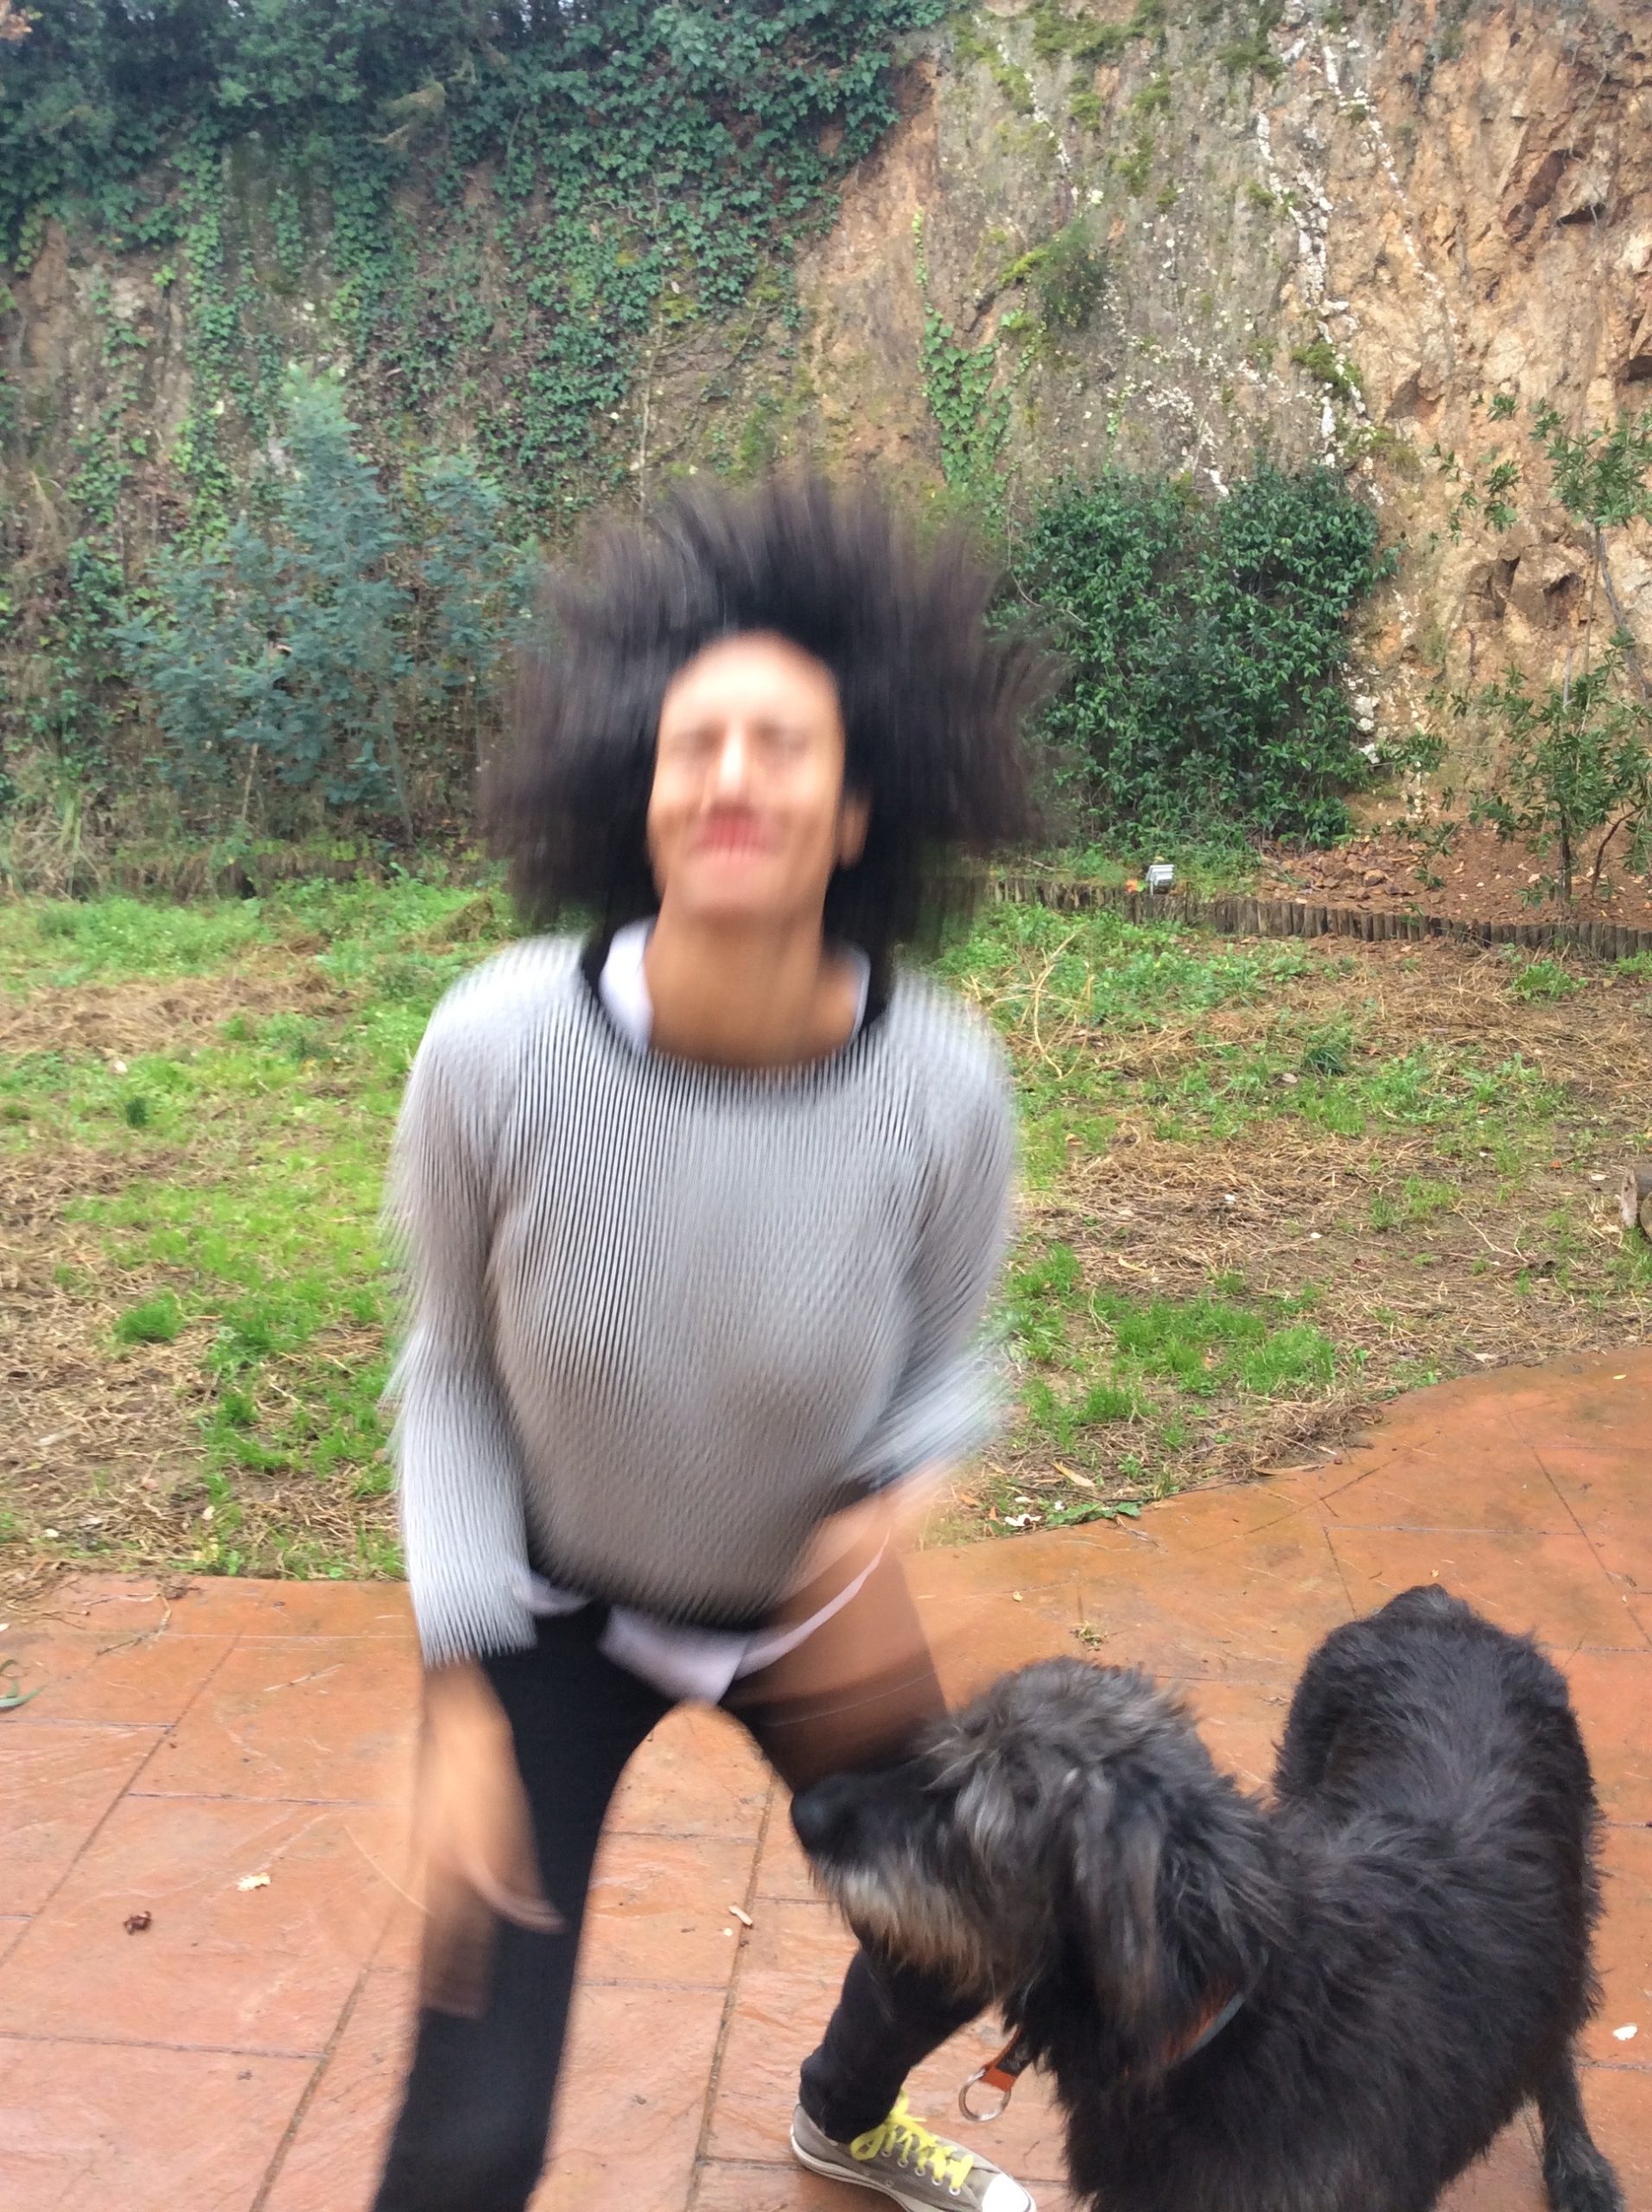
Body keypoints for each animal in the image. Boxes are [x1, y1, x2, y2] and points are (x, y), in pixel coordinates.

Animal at [791, 1585, 1623, 2212]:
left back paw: (1578, 2165)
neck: (1243, 2007)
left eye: (961, 1813)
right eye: (936, 1753)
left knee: (1560, 2038)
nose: (806, 1812)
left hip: (1575, 1901)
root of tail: (1437, 1606)